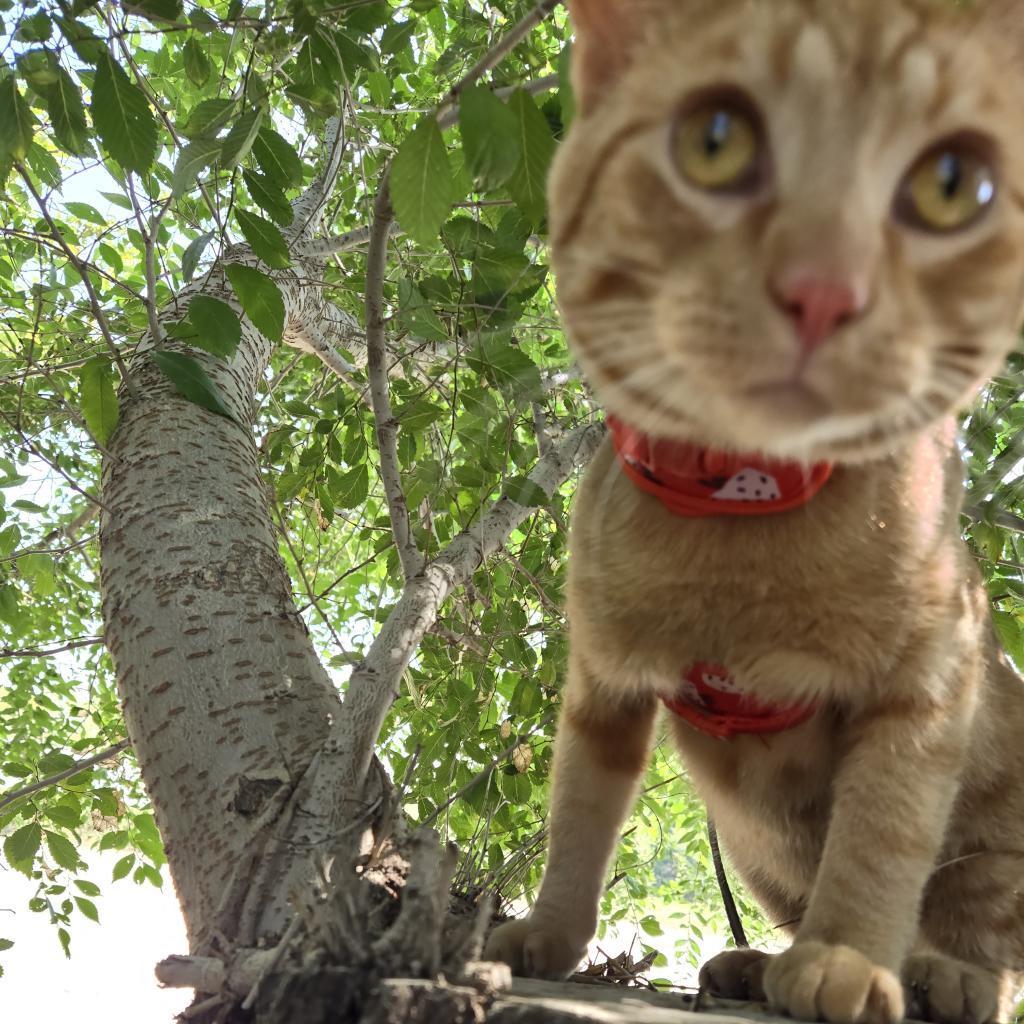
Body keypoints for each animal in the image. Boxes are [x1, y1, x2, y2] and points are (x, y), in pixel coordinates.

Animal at [485, 2, 1024, 1024]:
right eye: (716, 142)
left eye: (949, 189)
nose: (824, 288)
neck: (736, 509)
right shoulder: (603, 692)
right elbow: (576, 825)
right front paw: (550, 932)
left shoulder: (929, 682)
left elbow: (880, 841)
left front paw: (847, 957)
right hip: (748, 840)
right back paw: (753, 965)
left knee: (981, 935)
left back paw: (939, 974)